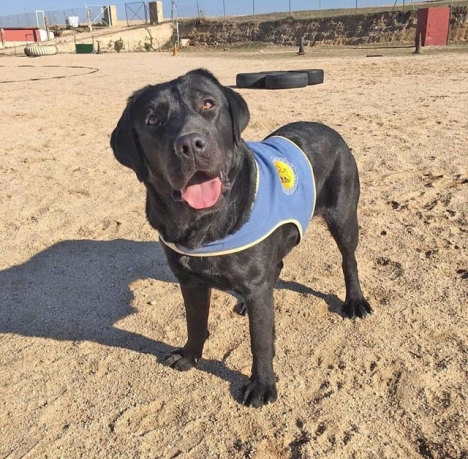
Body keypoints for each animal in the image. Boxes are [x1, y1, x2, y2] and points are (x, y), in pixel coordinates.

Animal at [110, 67, 372, 406]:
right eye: (152, 120)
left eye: (208, 104)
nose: (190, 144)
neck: (202, 222)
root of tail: (325, 127)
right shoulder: (189, 280)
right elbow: (195, 322)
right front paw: (190, 356)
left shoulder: (254, 283)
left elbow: (260, 341)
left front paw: (262, 385)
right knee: (277, 268)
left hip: (343, 216)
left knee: (348, 259)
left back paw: (355, 301)